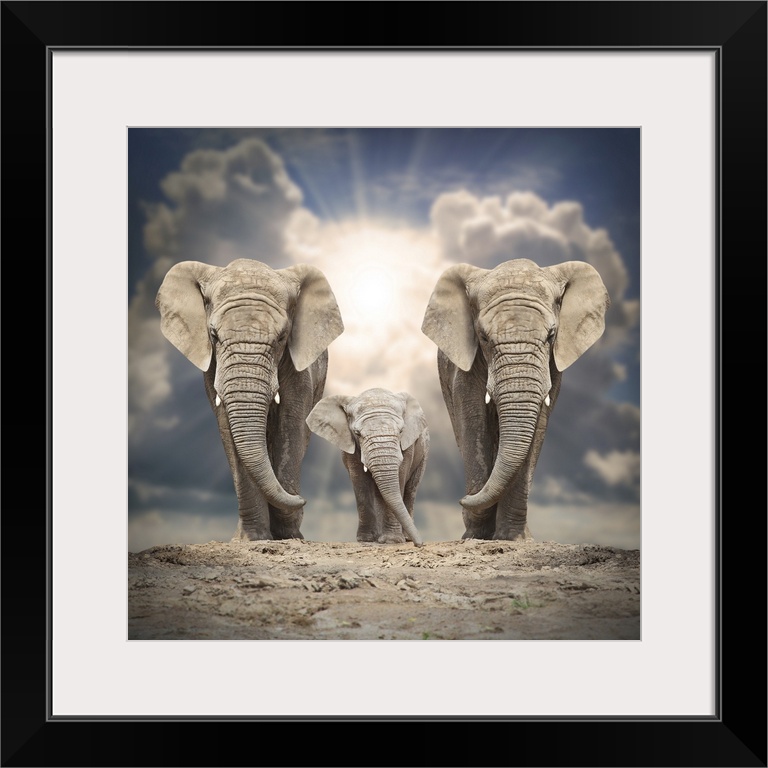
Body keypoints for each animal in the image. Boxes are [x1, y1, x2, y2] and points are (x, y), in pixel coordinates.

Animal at [154, 258, 344, 540]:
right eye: (213, 335)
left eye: (282, 337)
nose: (303, 499)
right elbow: (228, 429)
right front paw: (251, 538)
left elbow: (291, 426)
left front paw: (289, 536)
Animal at [306, 390, 428, 544]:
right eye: (357, 433)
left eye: (401, 431)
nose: (420, 544)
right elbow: (360, 480)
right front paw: (366, 539)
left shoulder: (408, 445)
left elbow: (400, 477)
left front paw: (391, 541)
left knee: (411, 489)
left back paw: (405, 537)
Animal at [420, 258, 612, 540]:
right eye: (483, 337)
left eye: (551, 335)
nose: (461, 499)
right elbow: (473, 422)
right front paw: (476, 536)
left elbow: (537, 427)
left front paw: (514, 538)